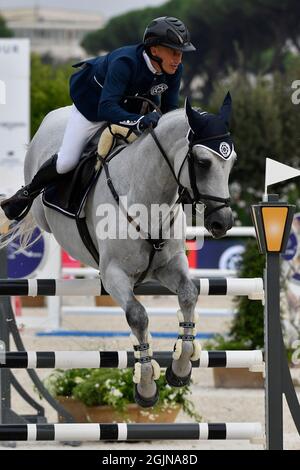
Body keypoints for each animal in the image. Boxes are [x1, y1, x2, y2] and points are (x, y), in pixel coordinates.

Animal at [1, 95, 236, 408]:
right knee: (48, 182)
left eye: (231, 162)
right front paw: (146, 386)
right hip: (42, 210)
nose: (223, 222)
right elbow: (138, 316)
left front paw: (180, 367)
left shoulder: (170, 265)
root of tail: (56, 113)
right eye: (202, 162)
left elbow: (188, 295)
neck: (148, 197)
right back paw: (13, 206)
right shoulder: (114, 274)